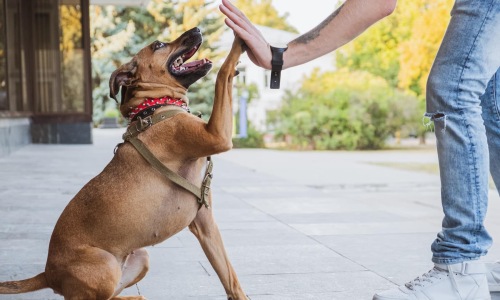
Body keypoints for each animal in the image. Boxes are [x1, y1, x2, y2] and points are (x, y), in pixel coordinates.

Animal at [0, 27, 247, 300]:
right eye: (158, 45)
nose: (197, 29)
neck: (155, 107)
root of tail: (48, 274)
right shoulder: (217, 136)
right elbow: (223, 74)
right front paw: (239, 40)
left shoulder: (205, 223)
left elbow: (230, 278)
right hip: (106, 264)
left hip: (141, 256)